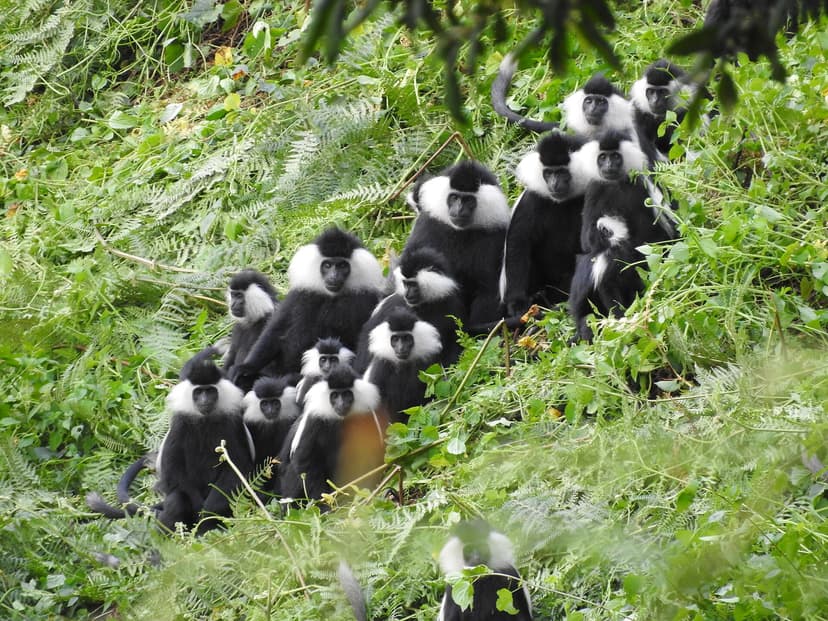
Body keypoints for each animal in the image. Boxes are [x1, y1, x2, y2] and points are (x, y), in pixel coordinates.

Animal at [87, 349, 254, 534]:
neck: (205, 418)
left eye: (210, 391)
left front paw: (208, 511)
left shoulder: (232, 423)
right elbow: (174, 473)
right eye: (198, 392)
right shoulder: (180, 425)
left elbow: (235, 470)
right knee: (176, 499)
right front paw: (197, 507)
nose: (204, 400)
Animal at [231, 228, 384, 391]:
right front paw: (247, 367)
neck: (332, 296)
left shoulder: (365, 300)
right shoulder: (300, 293)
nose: (333, 276)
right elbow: (277, 329)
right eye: (327, 265)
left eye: (342, 266)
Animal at [279, 365, 383, 503]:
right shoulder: (314, 421)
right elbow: (305, 462)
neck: (341, 419)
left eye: (347, 394)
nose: (341, 404)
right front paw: (322, 504)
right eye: (334, 395)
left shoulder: (367, 417)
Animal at [405, 160, 510, 327]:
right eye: (454, 198)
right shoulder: (428, 224)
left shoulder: (495, 237)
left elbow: (488, 288)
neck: (460, 231)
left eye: (468, 200)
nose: (459, 209)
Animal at [499, 131, 590, 316]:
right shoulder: (532, 200)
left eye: (562, 172)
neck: (562, 202)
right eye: (548, 173)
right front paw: (517, 305)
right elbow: (518, 243)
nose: (554, 184)